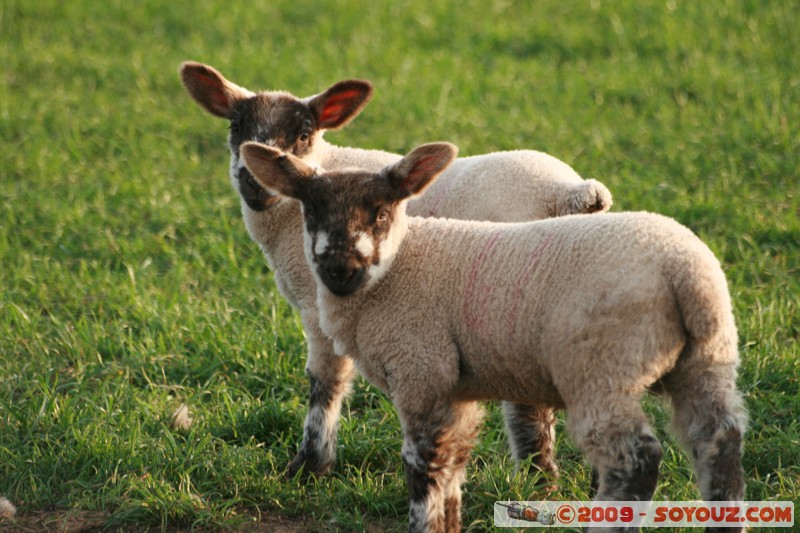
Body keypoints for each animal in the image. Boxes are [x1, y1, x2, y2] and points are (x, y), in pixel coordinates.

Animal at [180, 61, 612, 478]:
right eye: (236, 127)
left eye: (304, 133)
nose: (252, 182)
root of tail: (571, 193)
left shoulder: (319, 305)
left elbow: (325, 382)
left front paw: (310, 464)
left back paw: (536, 477)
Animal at [242, 141, 752, 532]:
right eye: (311, 211)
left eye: (381, 212)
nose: (340, 270)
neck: (400, 268)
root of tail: (685, 273)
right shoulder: (454, 388)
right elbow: (451, 468)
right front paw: (448, 522)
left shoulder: (422, 370)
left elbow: (423, 466)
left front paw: (422, 523)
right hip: (707, 359)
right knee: (719, 444)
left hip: (602, 368)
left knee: (636, 461)